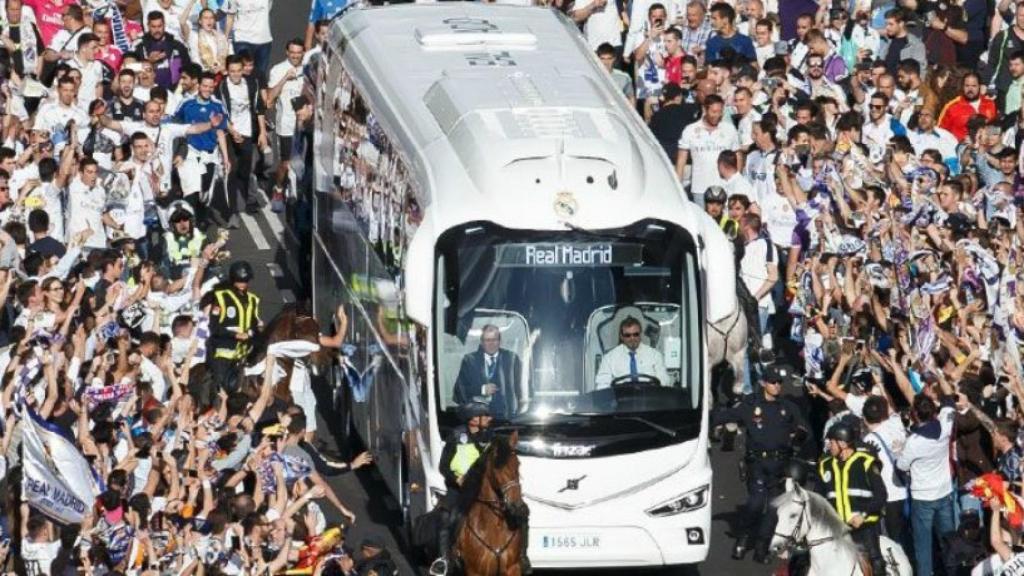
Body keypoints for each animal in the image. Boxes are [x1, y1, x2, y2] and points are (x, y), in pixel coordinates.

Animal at [452, 430, 528, 573]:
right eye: (497, 468)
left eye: (518, 464)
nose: (518, 508)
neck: (496, 525)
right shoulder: (474, 571)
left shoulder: (513, 568)